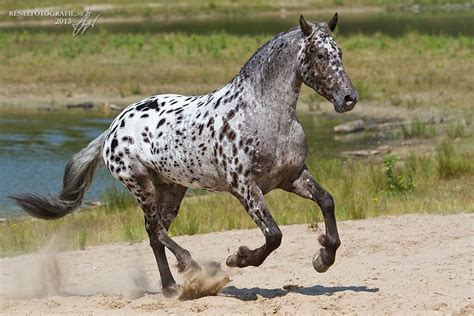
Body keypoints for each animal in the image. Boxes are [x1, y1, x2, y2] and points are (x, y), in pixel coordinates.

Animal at [10, 14, 360, 296]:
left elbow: (327, 201)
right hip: (141, 185)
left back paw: (171, 286)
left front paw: (323, 258)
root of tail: (112, 129)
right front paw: (239, 258)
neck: (264, 115)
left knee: (155, 233)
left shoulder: (292, 177)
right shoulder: (244, 188)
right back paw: (191, 268)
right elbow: (274, 236)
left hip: (172, 188)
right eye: (319, 54)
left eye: (340, 53)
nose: (349, 98)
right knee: (156, 230)